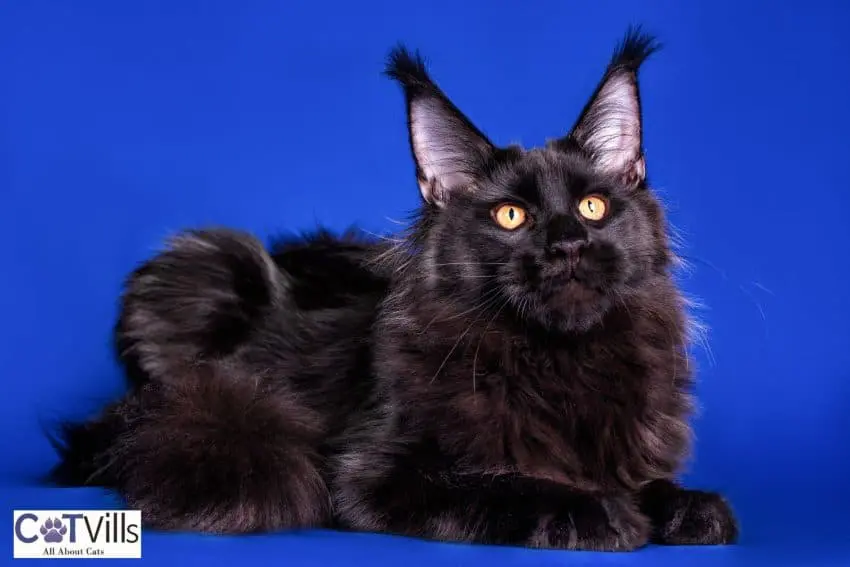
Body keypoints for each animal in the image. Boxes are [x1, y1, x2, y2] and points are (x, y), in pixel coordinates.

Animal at [48, 26, 736, 552]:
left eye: (593, 207)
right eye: (510, 216)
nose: (567, 244)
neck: (558, 362)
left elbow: (651, 483)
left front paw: (687, 506)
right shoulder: (374, 474)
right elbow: (505, 482)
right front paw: (597, 511)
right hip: (207, 261)